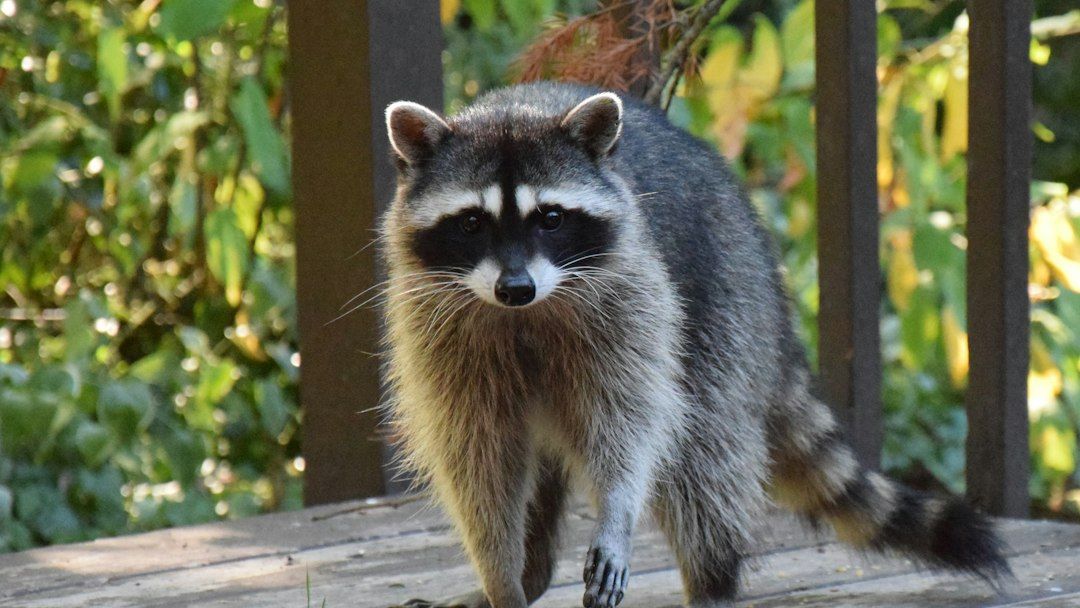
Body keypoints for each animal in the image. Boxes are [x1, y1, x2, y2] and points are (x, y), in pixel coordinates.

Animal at [378, 82, 1008, 608]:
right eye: (471, 223)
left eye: (550, 218)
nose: (515, 288)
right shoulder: (438, 328)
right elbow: (476, 455)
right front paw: (499, 572)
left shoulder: (632, 300)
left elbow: (631, 423)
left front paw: (617, 510)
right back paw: (533, 572)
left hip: (722, 301)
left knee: (702, 452)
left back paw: (712, 577)